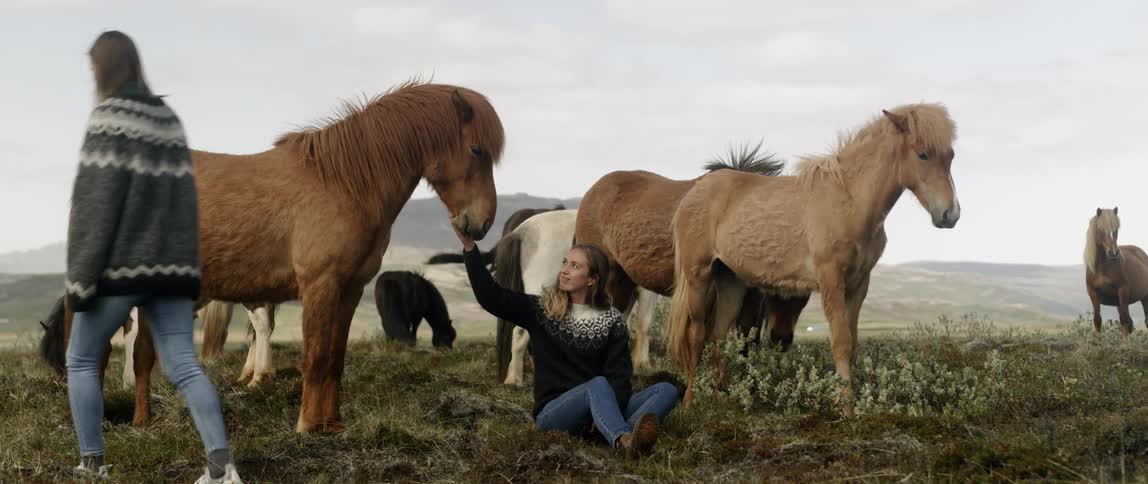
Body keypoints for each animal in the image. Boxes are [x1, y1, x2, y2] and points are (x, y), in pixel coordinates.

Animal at [53, 80, 504, 433]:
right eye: (476, 150)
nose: (480, 224)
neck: (344, 183)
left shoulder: (349, 290)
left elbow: (335, 359)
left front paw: (331, 425)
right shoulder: (319, 285)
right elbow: (315, 357)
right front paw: (307, 426)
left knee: (142, 356)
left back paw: (142, 423)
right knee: (93, 356)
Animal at [666, 104, 960, 416]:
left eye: (951, 155)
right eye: (922, 154)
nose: (949, 215)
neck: (849, 200)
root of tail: (693, 193)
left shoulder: (858, 285)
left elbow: (852, 343)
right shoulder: (831, 281)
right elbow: (841, 343)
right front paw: (847, 411)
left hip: (731, 281)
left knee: (719, 334)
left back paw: (725, 395)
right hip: (699, 277)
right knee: (697, 334)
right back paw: (690, 402)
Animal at [1084, 207, 1148, 337]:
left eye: (1116, 229)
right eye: (1100, 229)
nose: (1113, 252)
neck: (1102, 267)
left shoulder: (1122, 290)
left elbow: (1123, 321)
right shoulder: (1093, 293)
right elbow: (1097, 320)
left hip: (1144, 298)